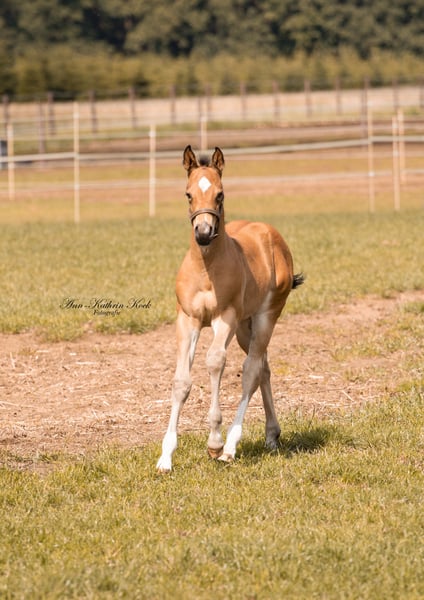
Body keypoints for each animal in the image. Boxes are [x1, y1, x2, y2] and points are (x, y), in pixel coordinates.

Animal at [156, 145, 304, 472]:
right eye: (188, 194)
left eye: (220, 194)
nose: (203, 232)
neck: (206, 268)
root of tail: (270, 233)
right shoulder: (188, 320)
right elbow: (181, 381)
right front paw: (165, 457)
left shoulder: (225, 318)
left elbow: (214, 362)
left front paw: (214, 442)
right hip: (245, 328)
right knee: (263, 367)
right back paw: (272, 435)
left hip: (263, 317)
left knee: (250, 371)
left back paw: (231, 446)